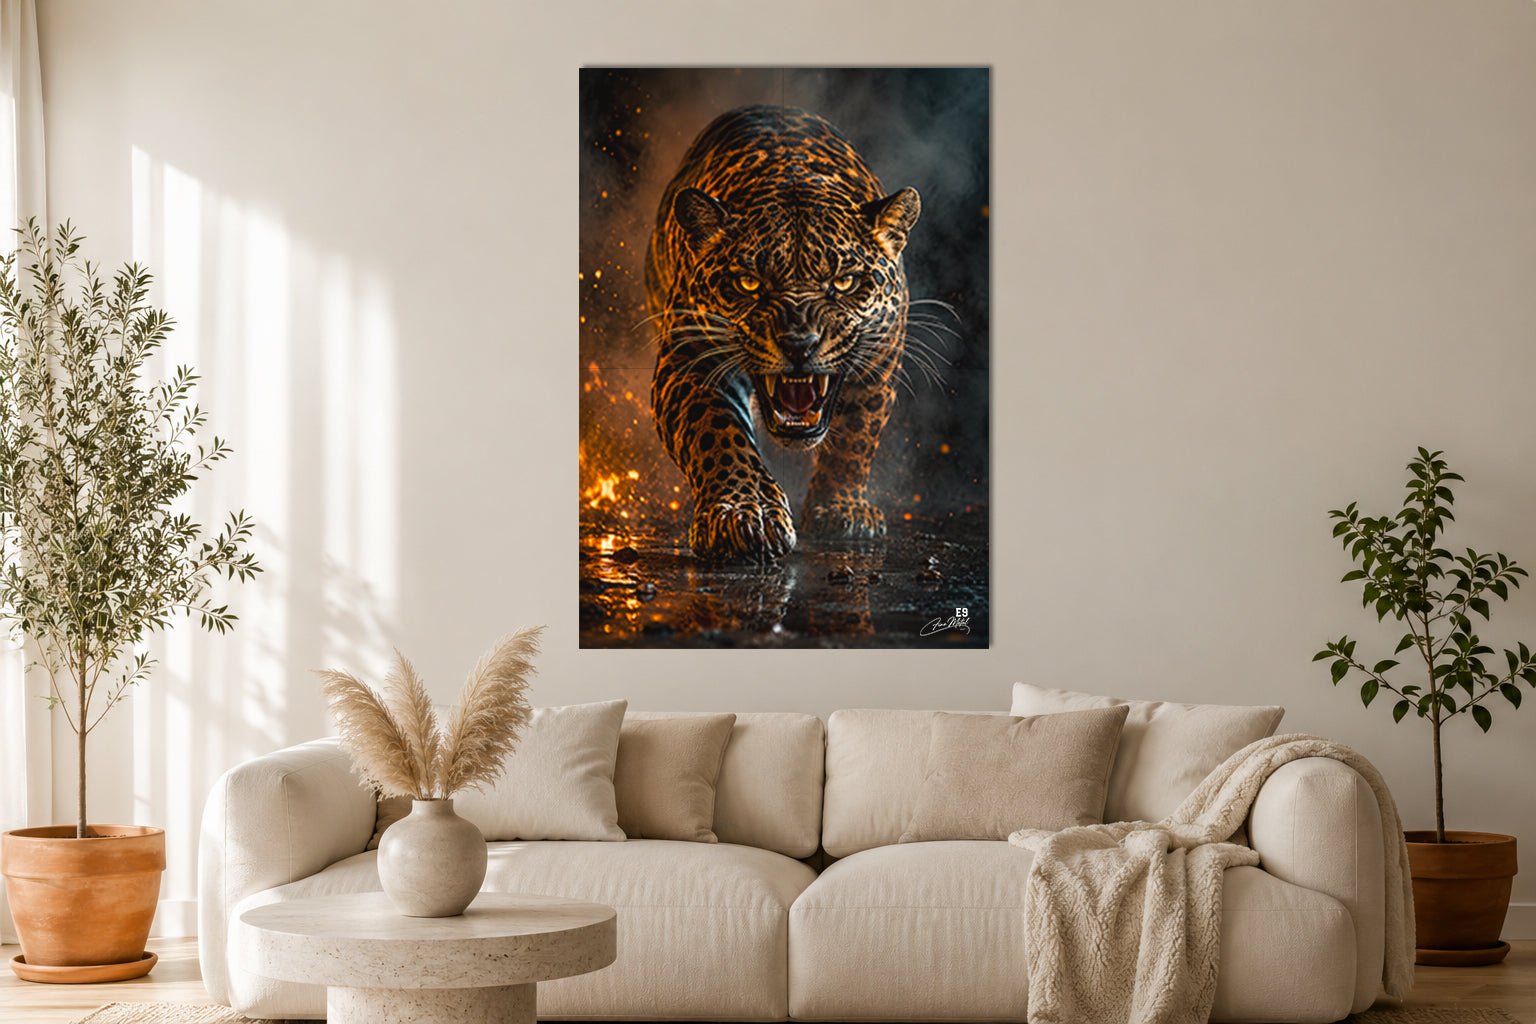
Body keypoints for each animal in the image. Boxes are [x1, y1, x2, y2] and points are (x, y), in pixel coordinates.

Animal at [646, 104, 921, 562]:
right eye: (749, 284)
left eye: (844, 282)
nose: (799, 345)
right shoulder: (690, 362)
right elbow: (718, 434)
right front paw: (744, 512)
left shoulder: (881, 361)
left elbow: (857, 435)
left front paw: (842, 509)